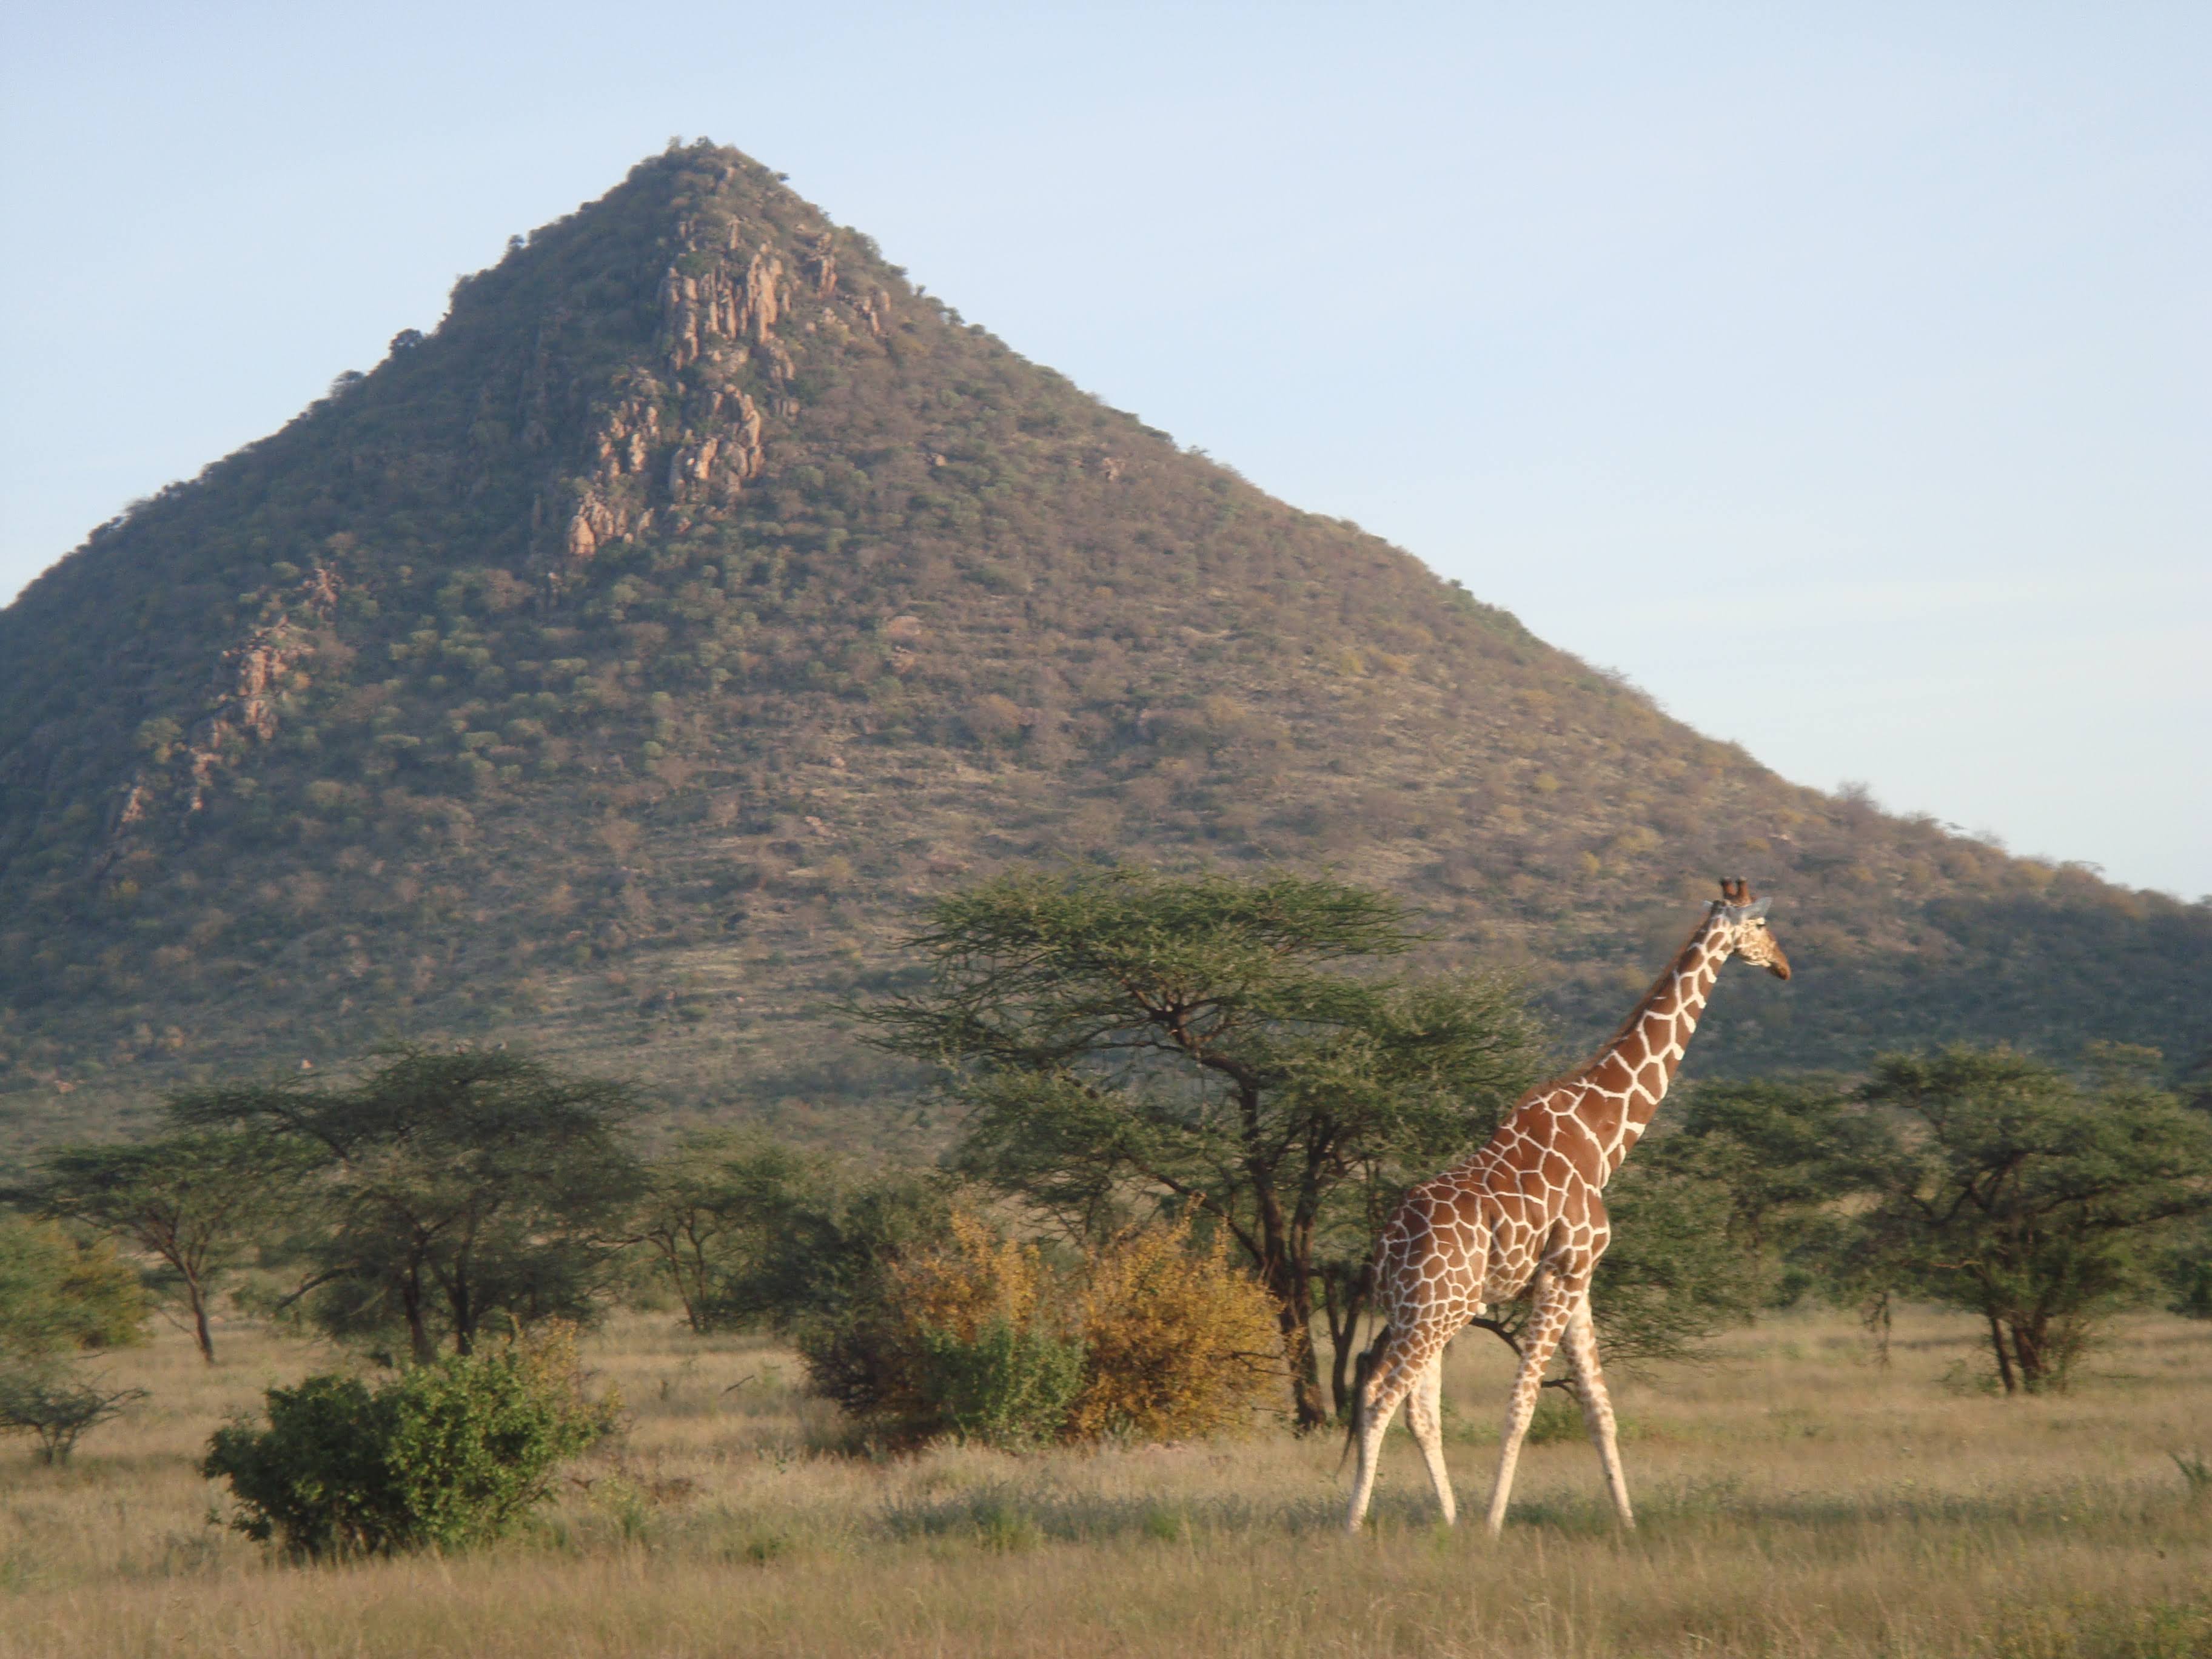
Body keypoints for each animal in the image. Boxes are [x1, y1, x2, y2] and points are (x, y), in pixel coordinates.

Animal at [1344, 877, 1791, 1535]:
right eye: (1761, 925)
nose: (1785, 966)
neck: (1601, 1140)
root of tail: (1385, 1245)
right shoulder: (1561, 1274)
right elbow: (1523, 1403)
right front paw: (1494, 1524)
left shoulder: (1580, 1284)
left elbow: (1599, 1407)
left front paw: (1627, 1521)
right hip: (1437, 1309)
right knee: (1381, 1394)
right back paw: (1353, 1522)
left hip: (1422, 1310)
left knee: (1415, 1407)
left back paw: (1447, 1520)